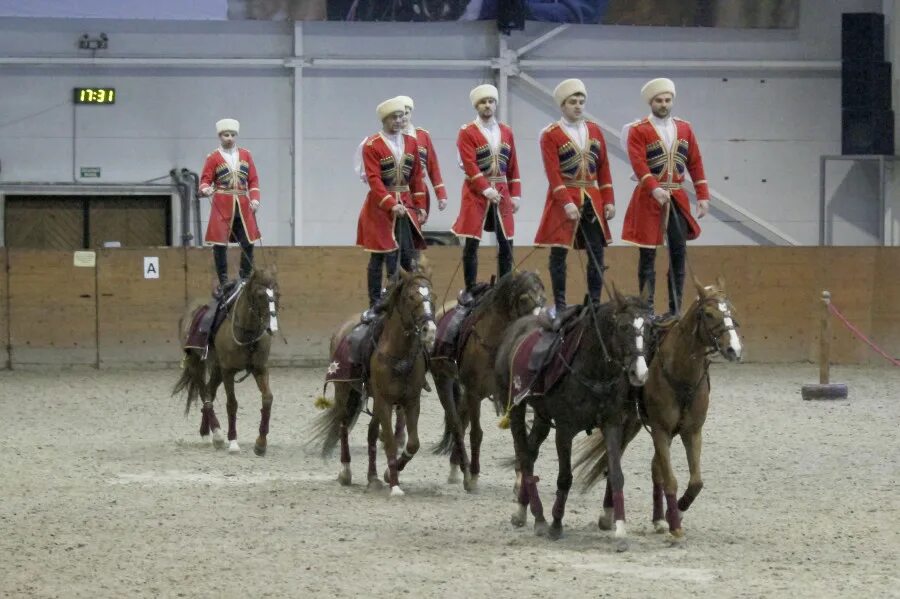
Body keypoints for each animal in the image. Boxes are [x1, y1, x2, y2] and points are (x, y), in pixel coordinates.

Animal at [171, 266, 278, 454]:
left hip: (216, 368)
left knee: (210, 391)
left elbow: (267, 398)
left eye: (277, 294)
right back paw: (217, 434)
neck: (247, 333)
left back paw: (207, 433)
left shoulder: (260, 368)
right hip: (196, 363)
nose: (272, 327)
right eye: (260, 295)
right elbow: (232, 404)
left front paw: (261, 443)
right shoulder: (228, 371)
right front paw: (233, 441)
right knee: (205, 393)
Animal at [310, 270, 436, 500]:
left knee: (371, 433)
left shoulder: (411, 401)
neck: (398, 354)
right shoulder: (384, 402)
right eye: (410, 297)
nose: (429, 330)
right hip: (344, 392)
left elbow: (412, 443)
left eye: (432, 296)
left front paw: (388, 474)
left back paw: (373, 478)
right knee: (343, 426)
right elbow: (389, 442)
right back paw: (345, 472)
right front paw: (395, 485)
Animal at [430, 272, 544, 492]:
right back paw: (464, 470)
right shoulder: (474, 391)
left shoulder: (512, 395)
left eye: (543, 298)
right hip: (443, 381)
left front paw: (520, 480)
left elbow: (518, 437)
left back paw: (456, 466)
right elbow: (476, 434)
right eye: (524, 298)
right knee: (457, 423)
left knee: (462, 419)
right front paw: (473, 477)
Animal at [496, 288, 652, 552]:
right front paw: (556, 524)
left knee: (531, 450)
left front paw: (620, 531)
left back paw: (526, 512)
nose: (639, 373)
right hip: (516, 407)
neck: (593, 369)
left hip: (542, 416)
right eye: (623, 327)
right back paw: (538, 517)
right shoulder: (565, 430)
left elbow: (616, 475)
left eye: (648, 327)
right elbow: (565, 478)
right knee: (525, 456)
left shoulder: (611, 424)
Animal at [572, 276, 740, 544]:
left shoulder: (692, 432)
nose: (734, 349)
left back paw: (659, 518)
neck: (681, 374)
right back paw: (609, 514)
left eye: (731, 311)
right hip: (628, 424)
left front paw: (676, 513)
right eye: (708, 313)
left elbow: (695, 481)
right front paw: (675, 524)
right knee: (614, 461)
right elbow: (670, 479)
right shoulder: (661, 430)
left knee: (651, 469)